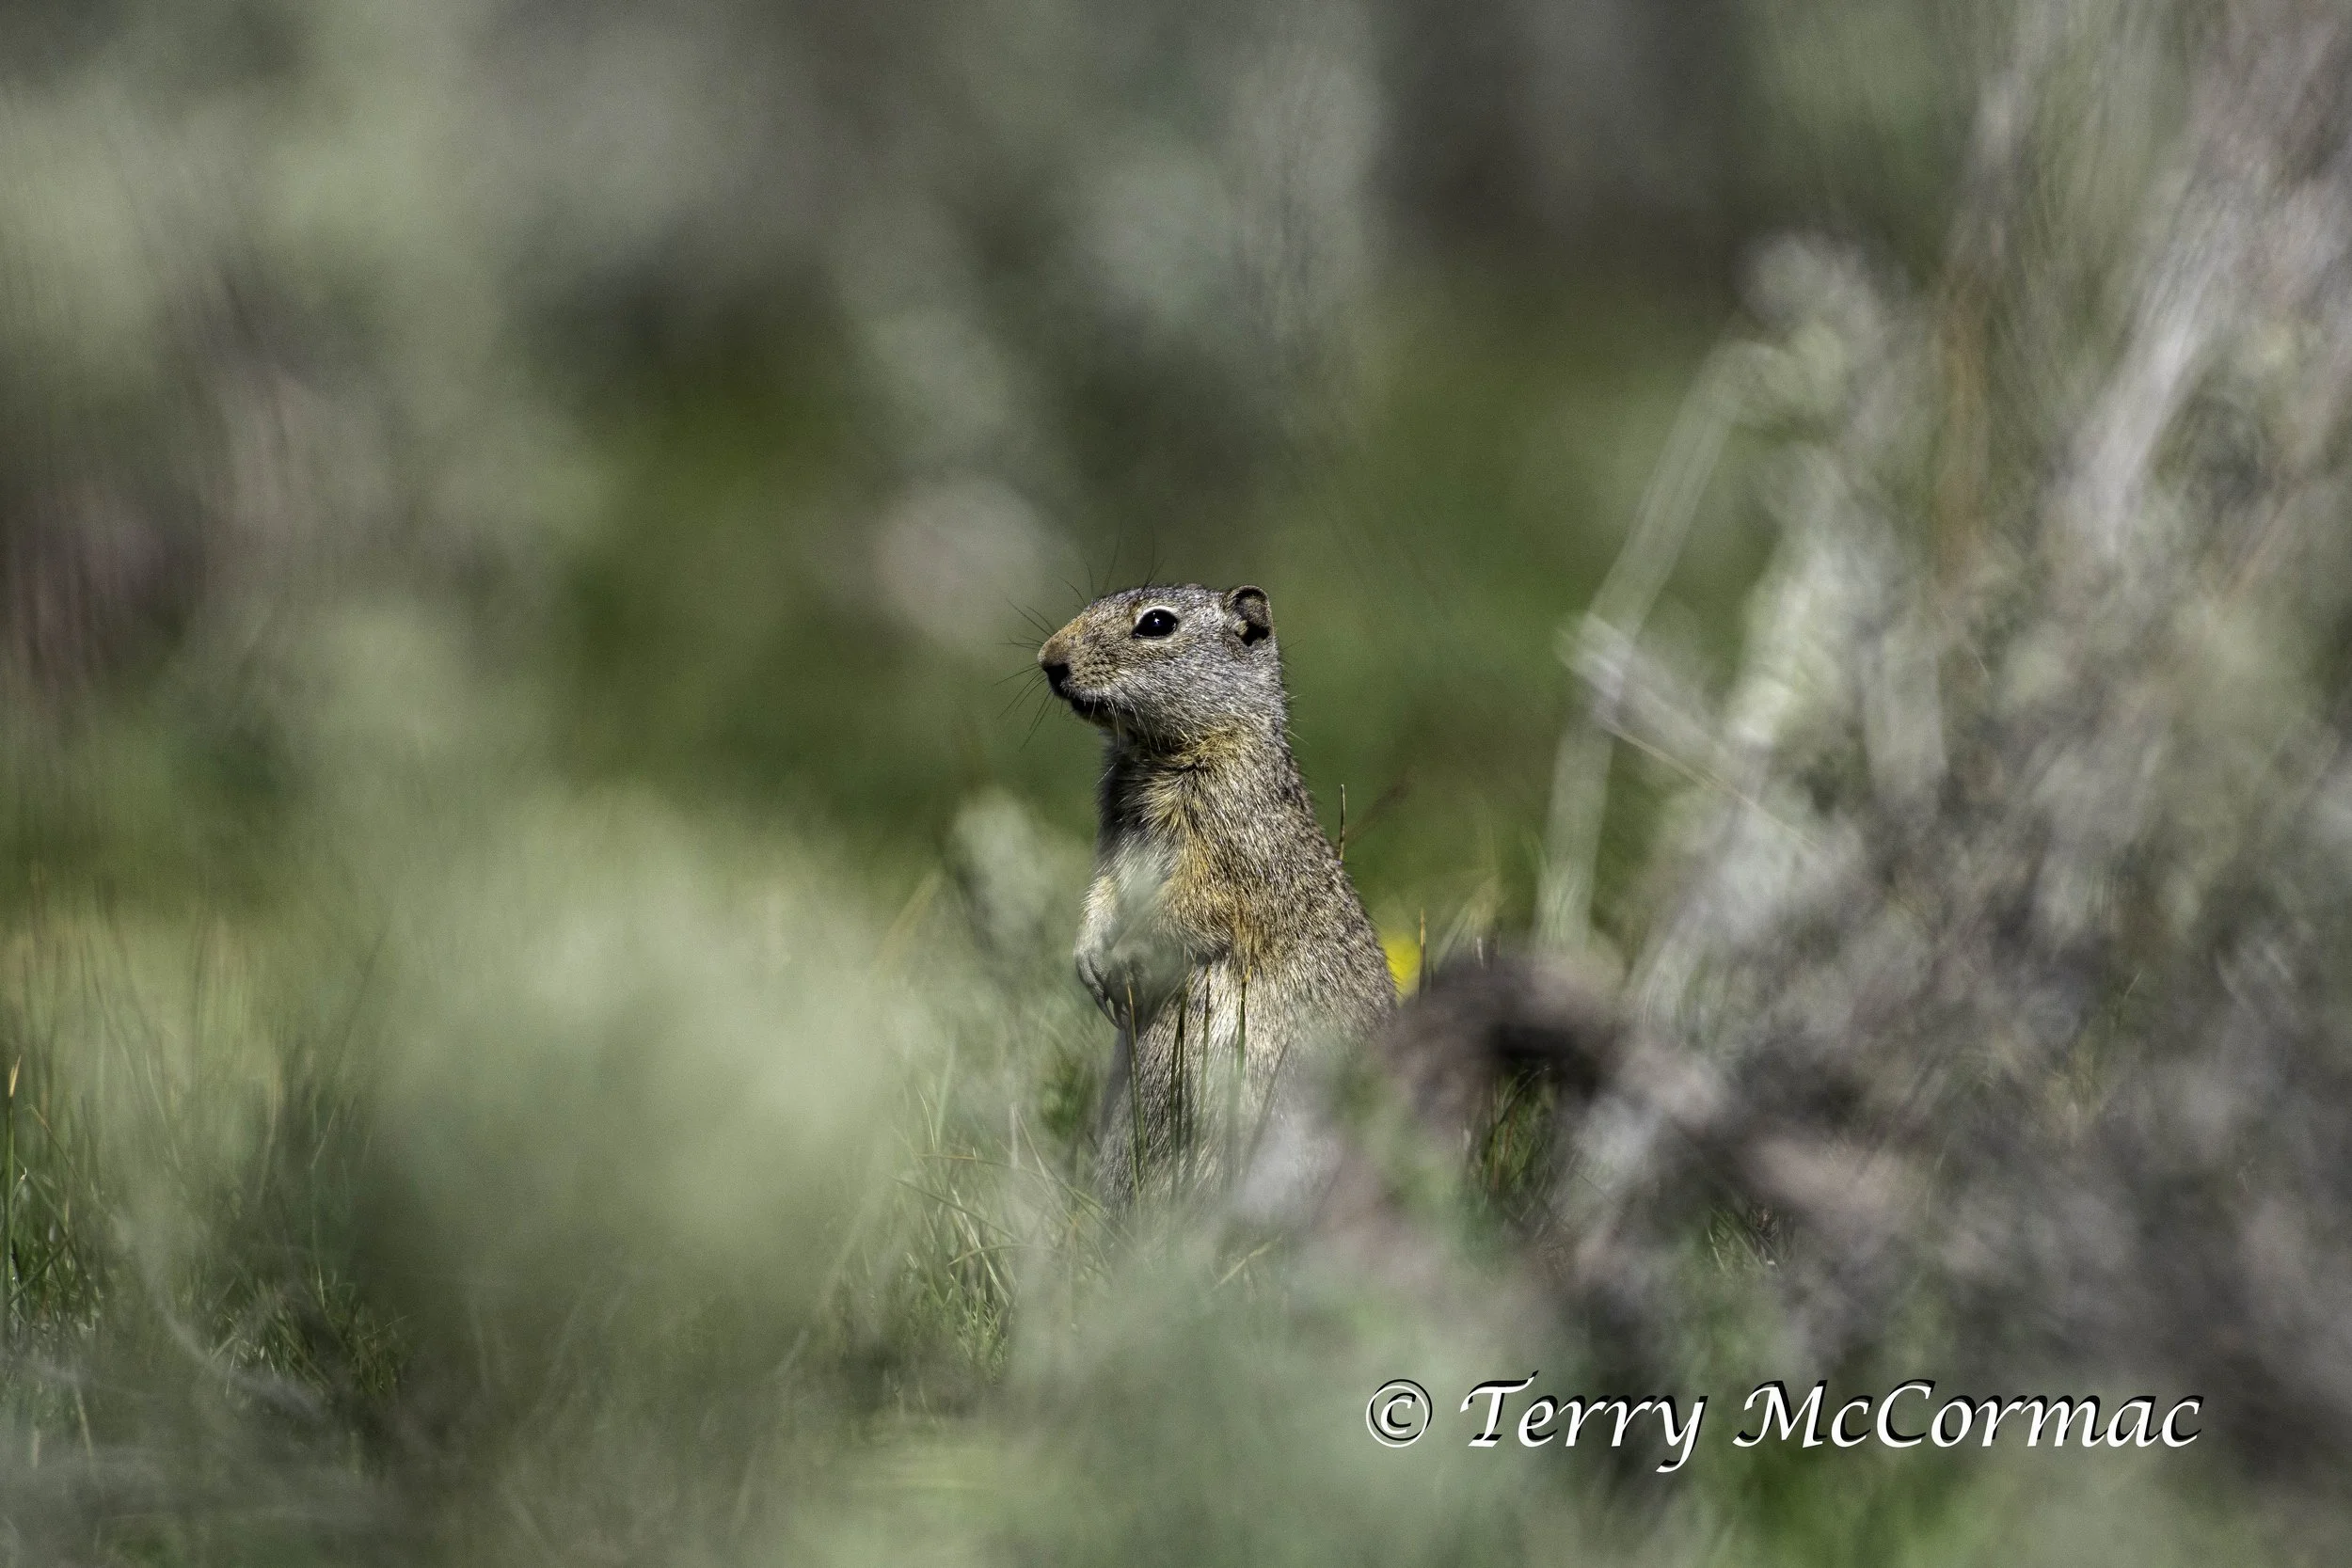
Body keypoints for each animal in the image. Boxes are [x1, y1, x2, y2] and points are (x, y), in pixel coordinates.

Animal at [1038, 582, 1395, 1203]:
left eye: (1157, 624)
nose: (1048, 659)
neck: (1153, 754)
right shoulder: (1113, 841)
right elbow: (1101, 893)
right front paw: (1088, 959)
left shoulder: (1227, 848)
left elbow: (1193, 906)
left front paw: (1123, 958)